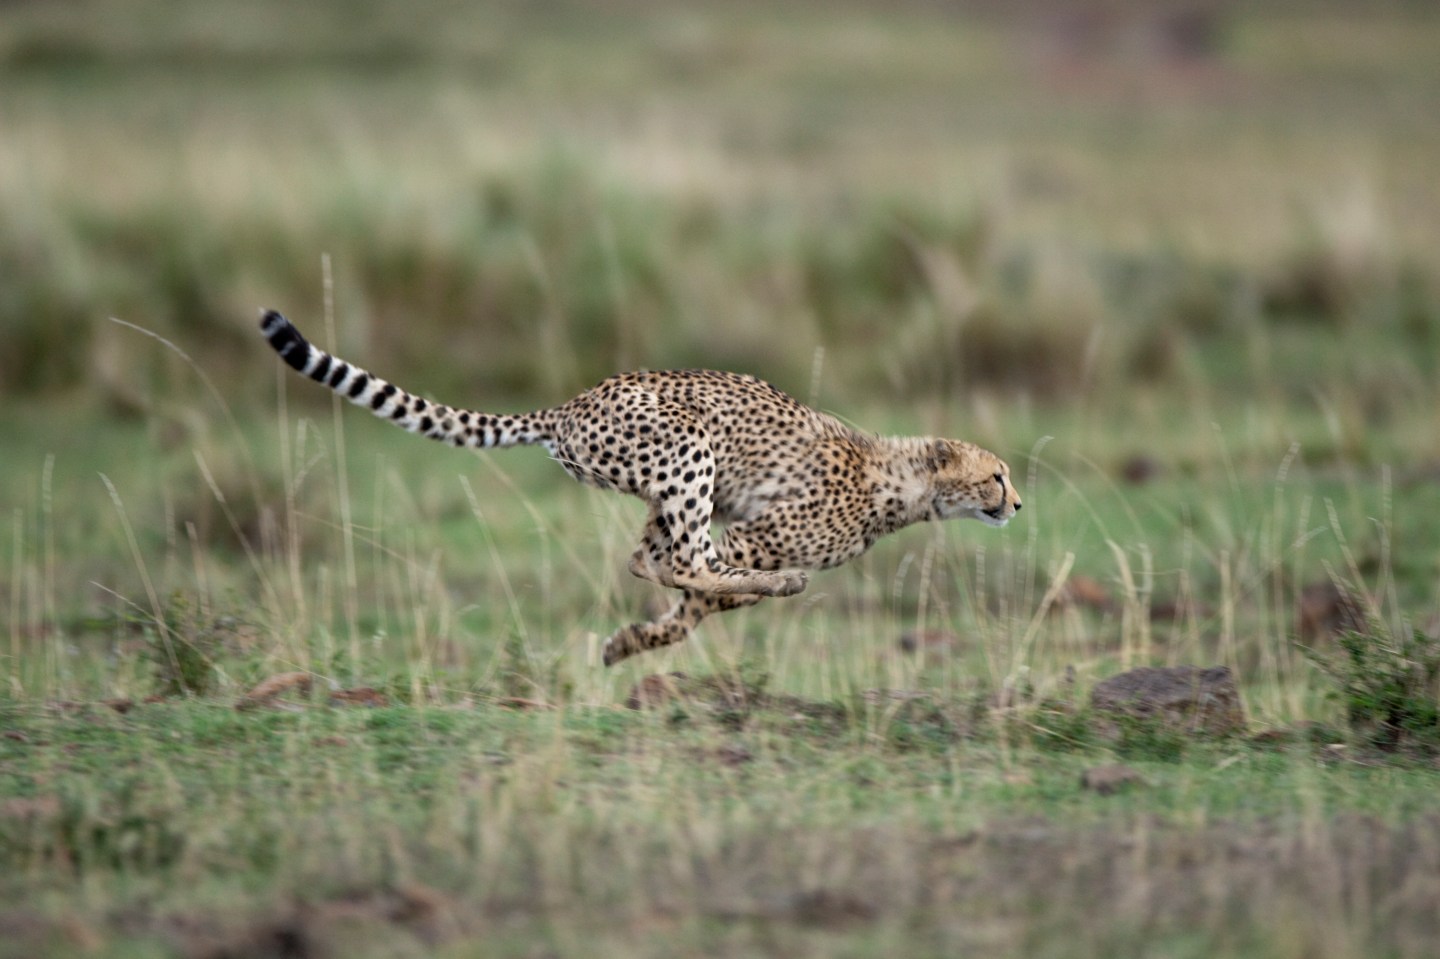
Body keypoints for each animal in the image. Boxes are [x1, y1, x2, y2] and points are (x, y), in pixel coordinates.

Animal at [259, 309, 1022, 665]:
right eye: (996, 474)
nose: (1017, 503)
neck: (904, 482)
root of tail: (568, 405)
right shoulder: (754, 534)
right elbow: (705, 582)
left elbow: (689, 605)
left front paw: (632, 643)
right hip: (690, 448)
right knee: (682, 557)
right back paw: (778, 586)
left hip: (670, 487)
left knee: (648, 556)